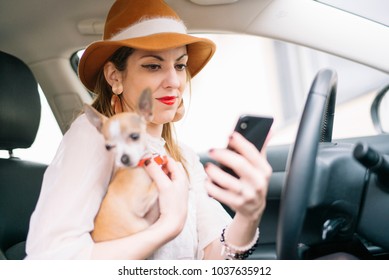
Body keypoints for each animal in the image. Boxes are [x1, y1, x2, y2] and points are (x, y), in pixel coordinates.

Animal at [84, 88, 163, 242]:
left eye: (134, 136)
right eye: (108, 147)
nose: (124, 158)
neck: (139, 166)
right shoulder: (140, 204)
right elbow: (156, 184)